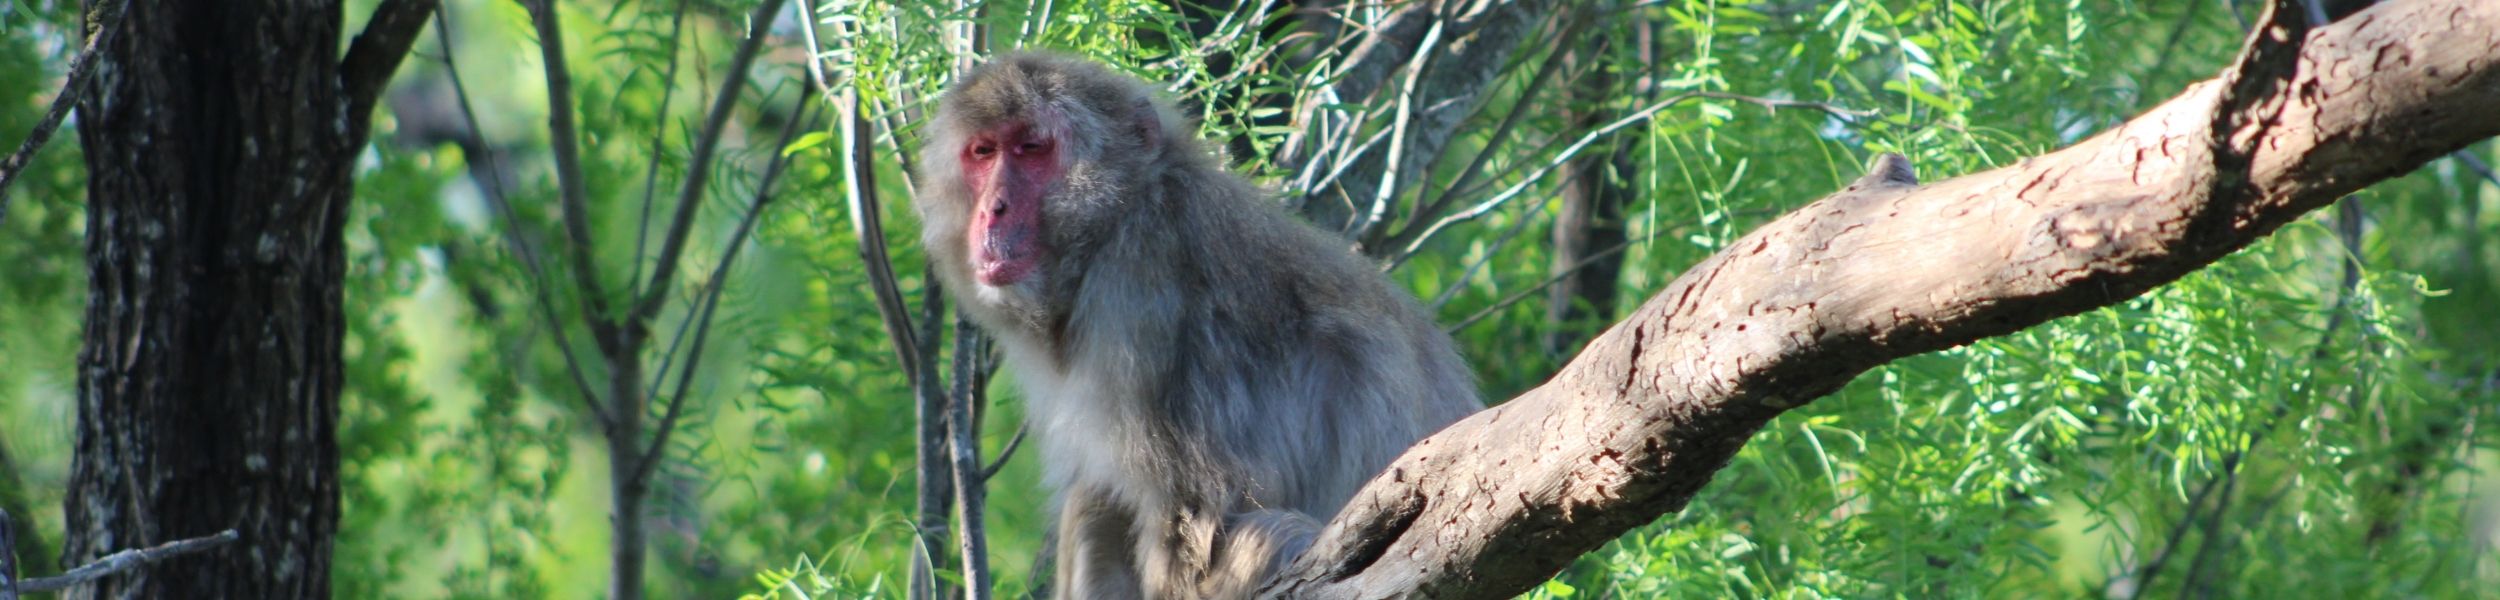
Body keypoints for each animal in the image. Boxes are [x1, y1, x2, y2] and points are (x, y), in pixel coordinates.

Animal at [910, 52, 1482, 599]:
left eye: (1031, 148)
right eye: (984, 153)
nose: (993, 210)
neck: (1121, 213)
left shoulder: (1142, 301)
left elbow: (1194, 535)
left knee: (1274, 535)